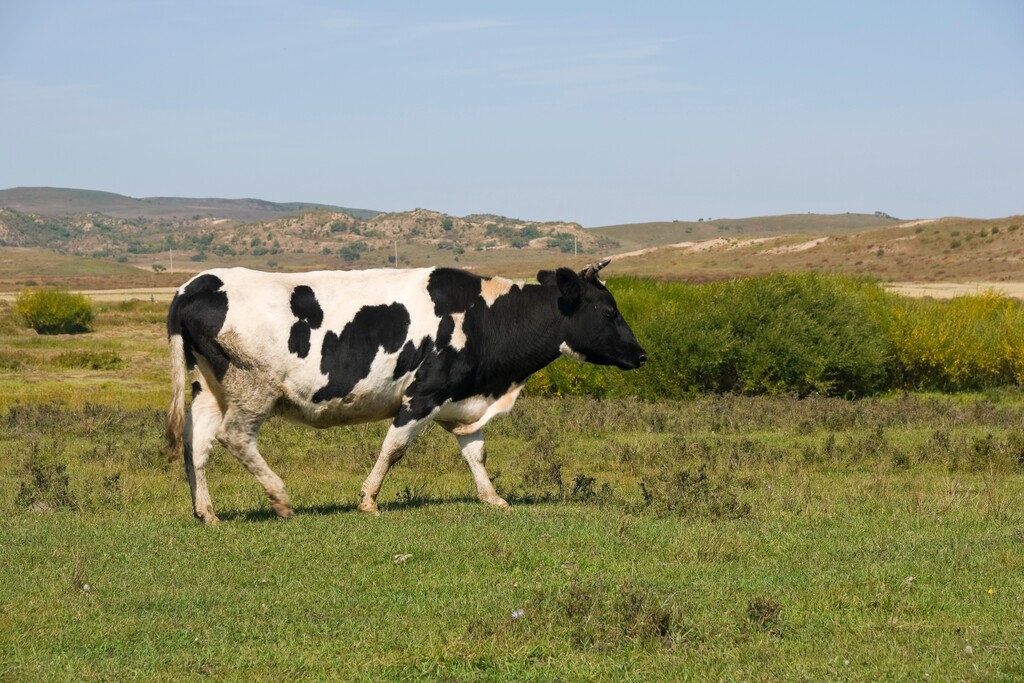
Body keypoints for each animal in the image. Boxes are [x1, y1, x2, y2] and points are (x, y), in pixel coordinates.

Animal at [167, 258, 647, 524]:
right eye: (609, 310)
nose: (641, 355)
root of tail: (195, 283)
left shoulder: (460, 399)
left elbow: (476, 452)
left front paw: (492, 498)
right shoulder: (423, 396)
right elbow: (394, 448)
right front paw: (368, 500)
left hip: (207, 388)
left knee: (197, 445)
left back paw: (206, 512)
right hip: (252, 387)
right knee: (234, 438)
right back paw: (281, 499)